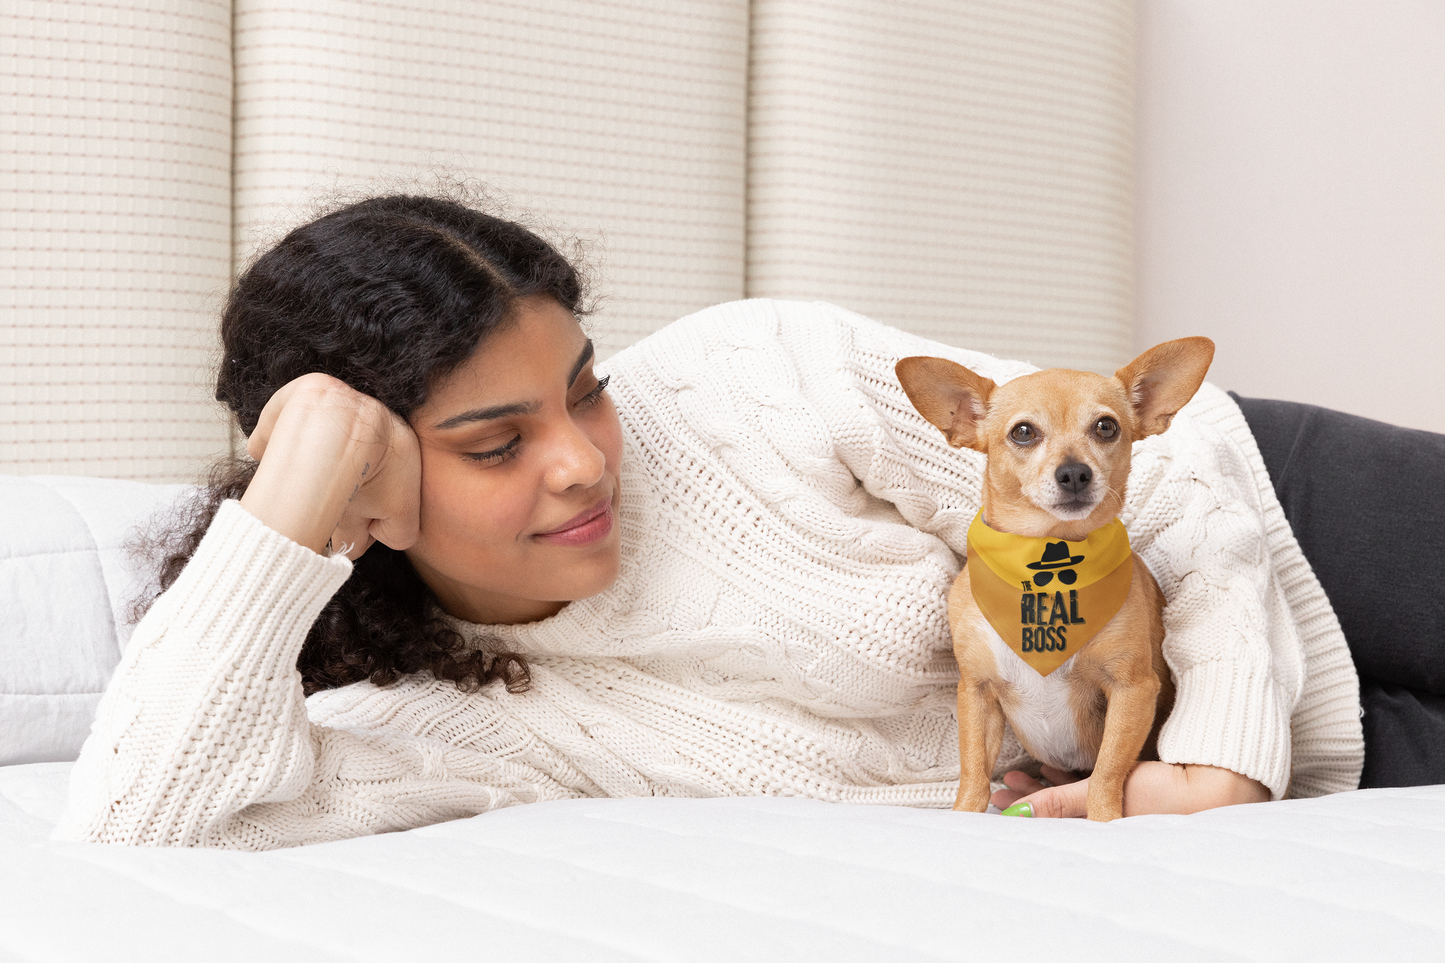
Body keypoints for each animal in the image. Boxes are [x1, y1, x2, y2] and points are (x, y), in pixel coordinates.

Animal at [895, 336, 1213, 815]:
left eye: (1106, 427)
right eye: (1023, 432)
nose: (1075, 472)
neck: (1051, 557)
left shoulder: (1132, 690)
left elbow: (1107, 773)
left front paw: (1103, 819)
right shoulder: (977, 692)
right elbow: (973, 772)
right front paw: (964, 814)